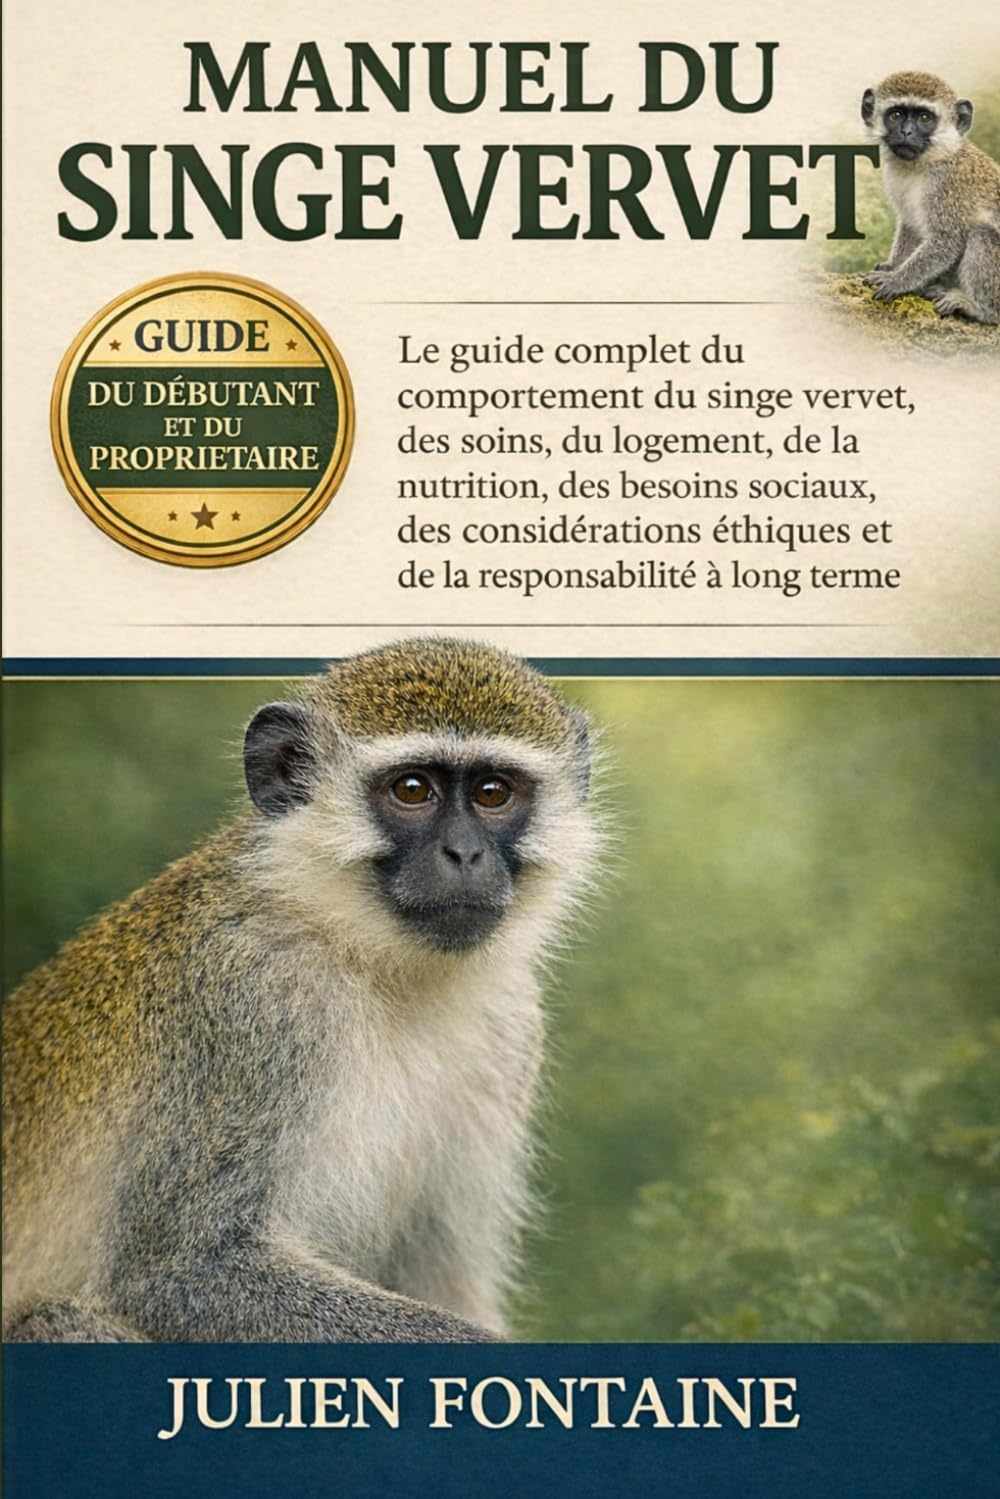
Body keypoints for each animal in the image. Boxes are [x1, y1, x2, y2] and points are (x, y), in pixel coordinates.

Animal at [2, 638, 598, 1343]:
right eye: (412, 790)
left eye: (493, 793)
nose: (464, 854)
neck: (371, 959)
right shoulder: (246, 996)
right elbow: (180, 1272)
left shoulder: (510, 1023)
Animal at [861, 71, 1000, 323]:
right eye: (896, 115)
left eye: (925, 118)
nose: (906, 132)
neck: (924, 164)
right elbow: (910, 226)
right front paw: (892, 266)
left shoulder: (949, 187)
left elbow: (946, 240)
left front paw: (896, 280)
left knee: (981, 235)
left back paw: (982, 310)